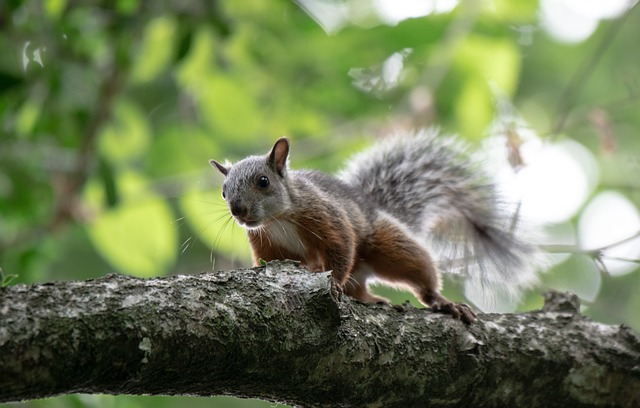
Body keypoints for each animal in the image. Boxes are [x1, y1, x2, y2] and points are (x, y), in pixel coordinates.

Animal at [210, 129, 536, 324]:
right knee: (359, 288)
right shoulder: (266, 244)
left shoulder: (327, 217)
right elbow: (270, 262)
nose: (238, 211)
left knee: (416, 268)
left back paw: (441, 301)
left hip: (388, 245)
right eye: (224, 191)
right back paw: (369, 297)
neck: (277, 220)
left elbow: (341, 247)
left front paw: (333, 283)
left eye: (263, 181)